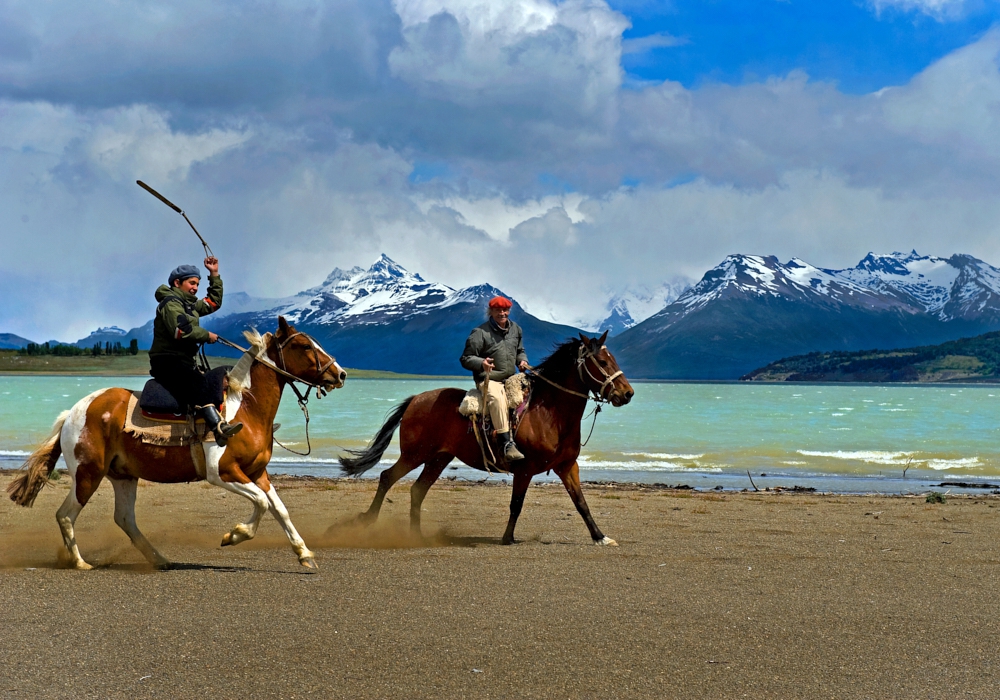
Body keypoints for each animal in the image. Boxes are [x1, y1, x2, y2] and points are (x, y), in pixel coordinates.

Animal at [7, 318, 346, 568]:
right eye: (304, 345)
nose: (340, 374)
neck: (244, 407)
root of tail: (73, 413)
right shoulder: (222, 473)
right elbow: (262, 503)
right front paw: (233, 535)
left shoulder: (257, 473)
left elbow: (279, 509)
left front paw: (304, 554)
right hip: (88, 474)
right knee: (66, 514)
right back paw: (80, 563)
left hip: (122, 476)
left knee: (124, 518)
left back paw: (160, 559)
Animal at [338, 334, 632, 548]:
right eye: (602, 361)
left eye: (613, 358)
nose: (627, 393)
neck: (551, 413)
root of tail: (415, 400)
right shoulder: (524, 469)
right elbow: (516, 504)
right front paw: (507, 538)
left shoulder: (567, 466)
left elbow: (581, 503)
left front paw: (600, 537)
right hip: (415, 455)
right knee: (387, 477)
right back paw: (366, 521)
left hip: (438, 458)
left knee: (417, 490)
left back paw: (416, 536)